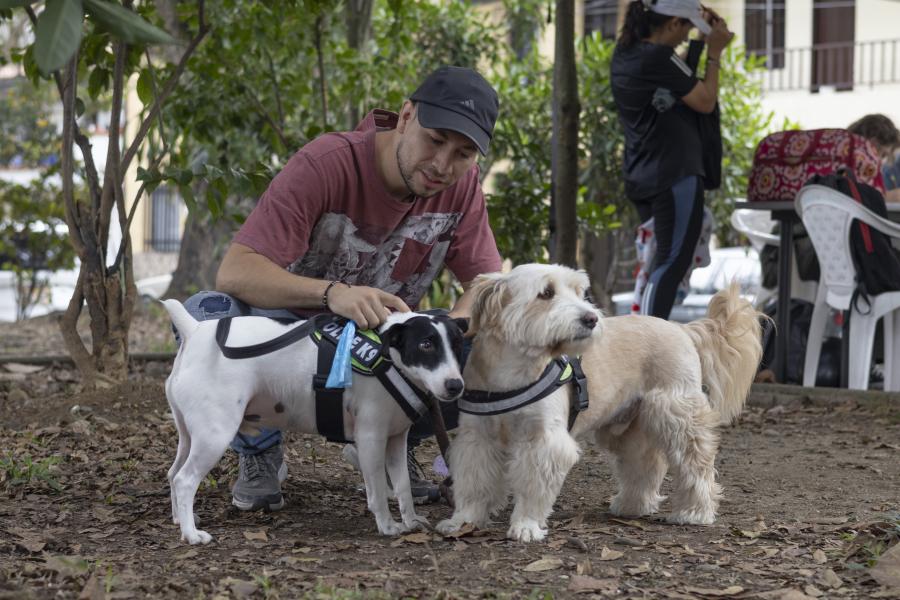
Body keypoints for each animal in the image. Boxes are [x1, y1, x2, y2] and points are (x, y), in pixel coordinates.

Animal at [163, 300, 468, 544]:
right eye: (425, 345)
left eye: (456, 345)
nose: (455, 386)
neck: (388, 356)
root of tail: (196, 331)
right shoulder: (371, 439)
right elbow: (379, 492)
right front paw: (387, 525)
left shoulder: (395, 441)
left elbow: (403, 487)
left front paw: (411, 520)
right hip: (215, 435)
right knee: (185, 480)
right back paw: (191, 534)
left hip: (190, 437)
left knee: (173, 473)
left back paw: (180, 519)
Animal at [440, 264, 764, 544]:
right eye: (546, 292)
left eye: (578, 291)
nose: (591, 319)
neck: (513, 373)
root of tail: (681, 327)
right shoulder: (477, 439)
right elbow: (473, 483)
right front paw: (463, 520)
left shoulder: (543, 442)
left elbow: (533, 486)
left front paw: (526, 525)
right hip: (628, 430)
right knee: (646, 464)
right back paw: (633, 505)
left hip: (677, 418)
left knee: (696, 466)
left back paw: (695, 511)